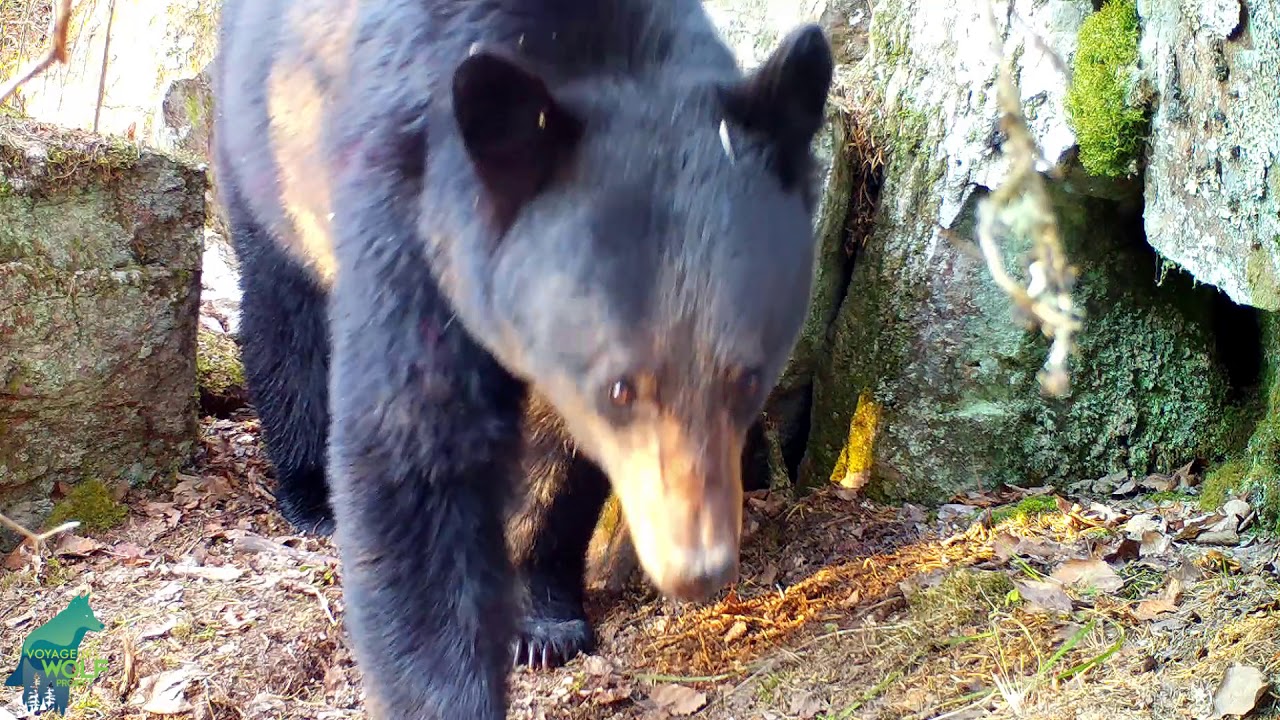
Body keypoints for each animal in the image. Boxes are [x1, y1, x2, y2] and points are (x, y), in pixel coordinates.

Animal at [212, 0, 834, 716]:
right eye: (620, 388)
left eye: (747, 379)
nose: (698, 569)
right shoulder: (403, 208)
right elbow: (413, 457)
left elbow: (559, 457)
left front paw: (543, 622)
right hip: (262, 154)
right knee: (283, 316)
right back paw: (309, 493)